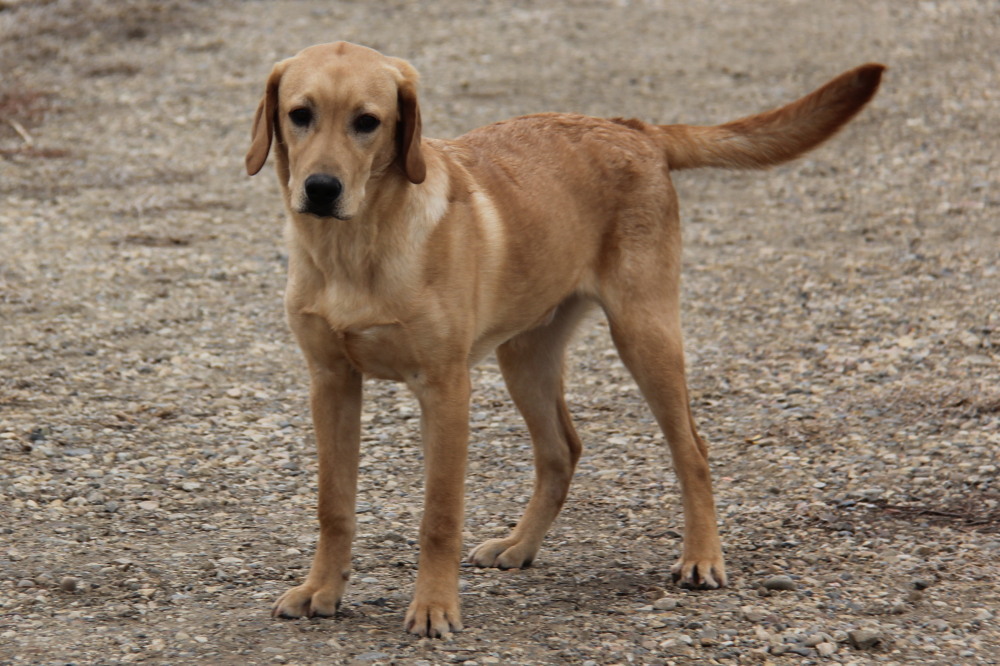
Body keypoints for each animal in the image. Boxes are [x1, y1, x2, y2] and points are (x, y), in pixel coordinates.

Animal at [248, 41, 884, 632]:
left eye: (368, 121)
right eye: (300, 114)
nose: (321, 188)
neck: (354, 251)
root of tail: (635, 130)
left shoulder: (445, 389)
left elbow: (439, 517)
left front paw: (433, 607)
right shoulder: (330, 382)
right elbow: (333, 505)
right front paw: (321, 591)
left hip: (645, 335)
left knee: (692, 451)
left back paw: (702, 557)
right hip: (525, 356)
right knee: (562, 450)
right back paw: (520, 545)